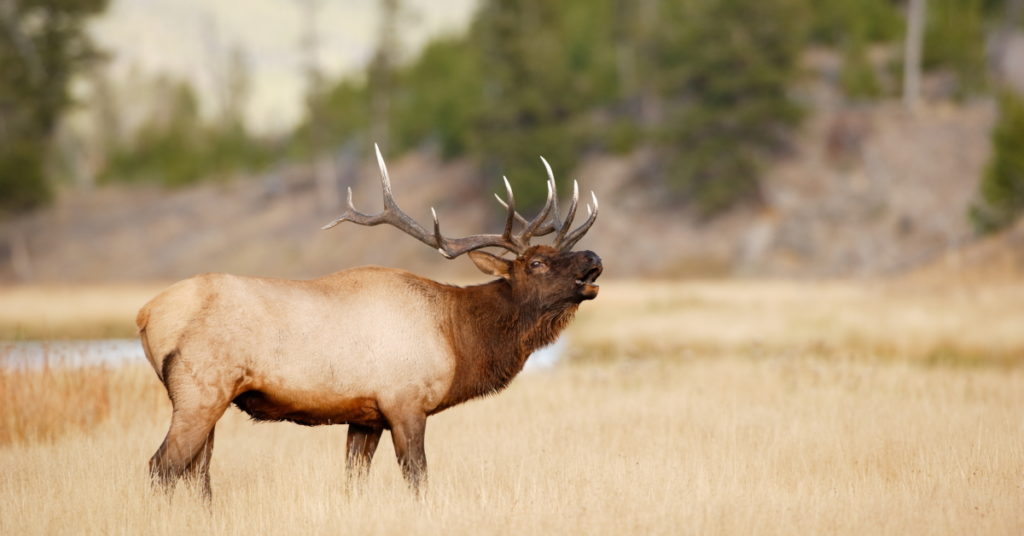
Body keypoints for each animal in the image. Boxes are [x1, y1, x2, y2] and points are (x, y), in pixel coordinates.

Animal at [136, 144, 598, 498]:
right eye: (536, 263)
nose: (593, 257)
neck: (457, 336)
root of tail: (146, 313)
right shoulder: (405, 402)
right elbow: (417, 477)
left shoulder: (365, 416)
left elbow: (353, 481)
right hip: (200, 390)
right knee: (163, 465)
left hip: (206, 398)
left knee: (198, 470)